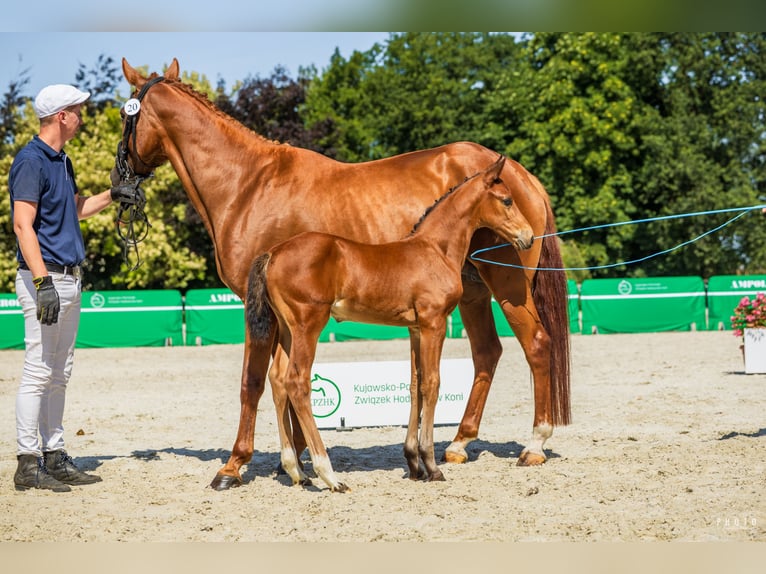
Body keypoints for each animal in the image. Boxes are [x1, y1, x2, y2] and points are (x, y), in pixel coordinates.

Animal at [246, 156, 533, 491]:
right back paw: (329, 475)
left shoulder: (415, 328)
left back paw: (296, 470)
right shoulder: (434, 323)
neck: (436, 249)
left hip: (287, 330)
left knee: (278, 380)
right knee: (296, 381)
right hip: (308, 326)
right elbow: (432, 384)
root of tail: (273, 253)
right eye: (507, 200)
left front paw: (414, 463)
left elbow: (414, 384)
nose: (528, 236)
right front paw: (432, 465)